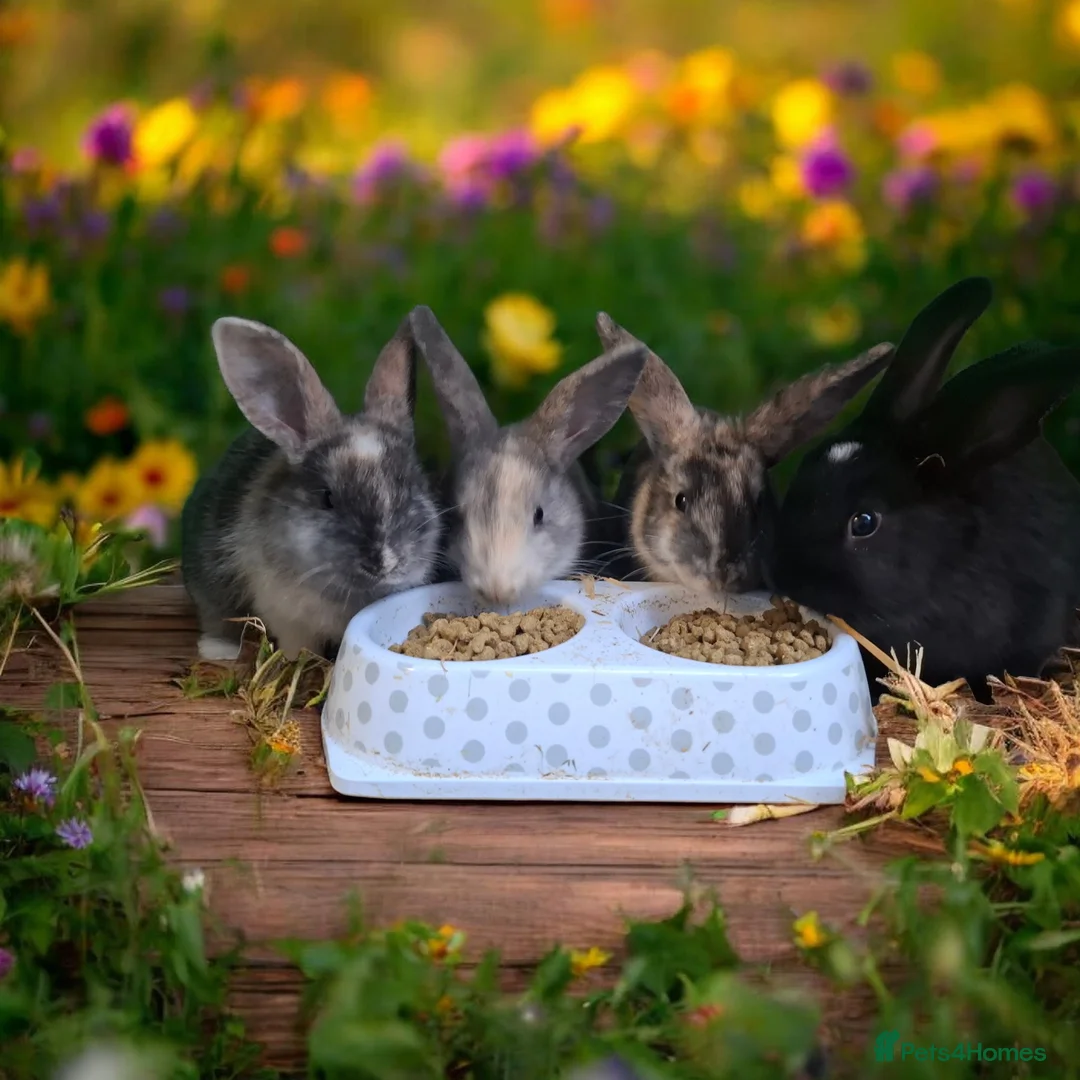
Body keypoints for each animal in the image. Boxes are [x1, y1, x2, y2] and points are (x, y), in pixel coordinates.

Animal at [181, 313, 442, 662]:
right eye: (327, 498)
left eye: (412, 486)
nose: (383, 562)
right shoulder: (288, 618)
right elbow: (297, 647)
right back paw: (219, 649)